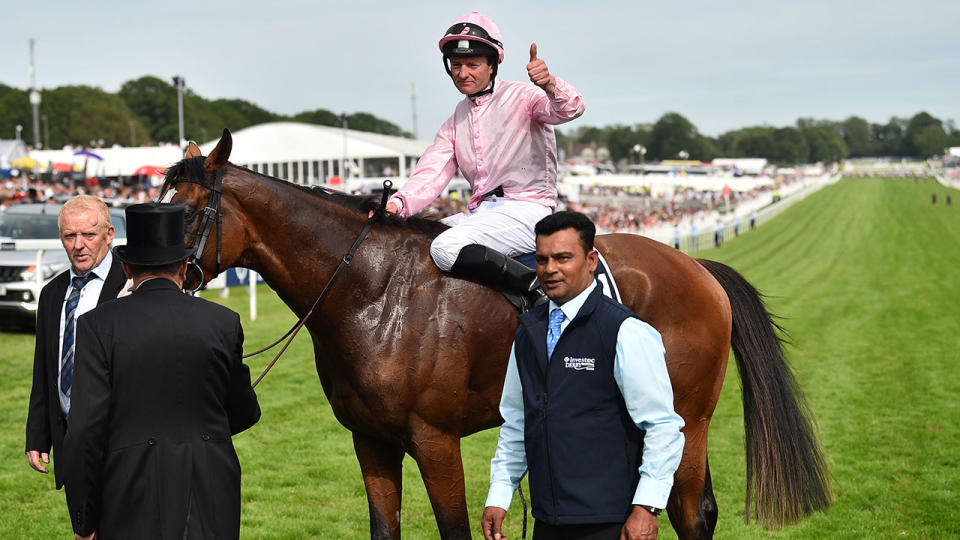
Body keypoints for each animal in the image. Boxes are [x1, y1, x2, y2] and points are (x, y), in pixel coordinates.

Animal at [161, 132, 828, 540]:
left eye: (186, 212)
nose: (144, 277)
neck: (372, 290)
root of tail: (696, 267)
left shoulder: (435, 441)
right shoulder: (370, 441)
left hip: (686, 419)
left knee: (691, 514)